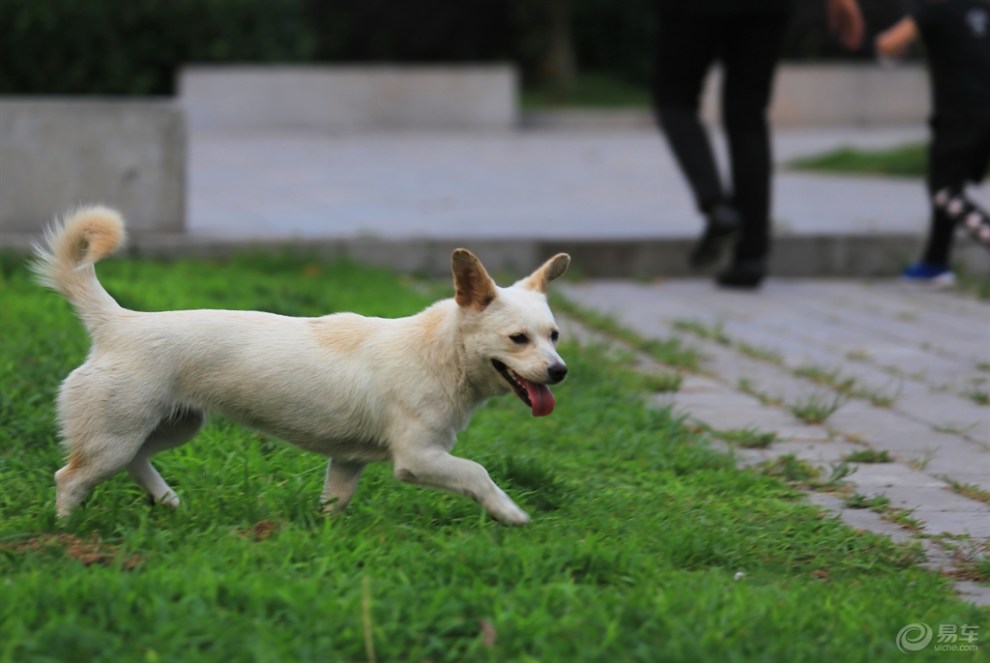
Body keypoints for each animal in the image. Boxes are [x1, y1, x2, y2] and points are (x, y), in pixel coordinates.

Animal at [35, 206, 572, 524]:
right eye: (518, 339)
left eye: (554, 336)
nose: (560, 372)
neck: (438, 352)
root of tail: (117, 321)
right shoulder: (418, 459)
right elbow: (477, 473)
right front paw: (511, 513)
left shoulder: (349, 462)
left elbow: (335, 501)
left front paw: (327, 535)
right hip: (115, 434)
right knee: (70, 478)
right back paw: (66, 532)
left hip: (171, 426)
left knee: (135, 461)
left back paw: (166, 501)